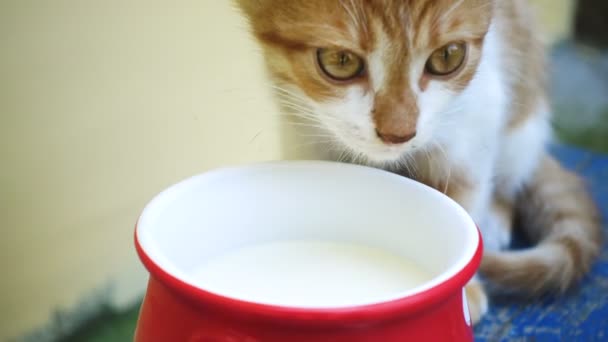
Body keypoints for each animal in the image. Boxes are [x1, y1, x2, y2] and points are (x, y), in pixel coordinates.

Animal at [235, 0, 600, 324]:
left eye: (448, 56)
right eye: (340, 60)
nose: (398, 133)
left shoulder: (479, 111)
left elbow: (466, 190)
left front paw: (463, 287)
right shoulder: (299, 123)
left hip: (523, 118)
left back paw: (496, 218)